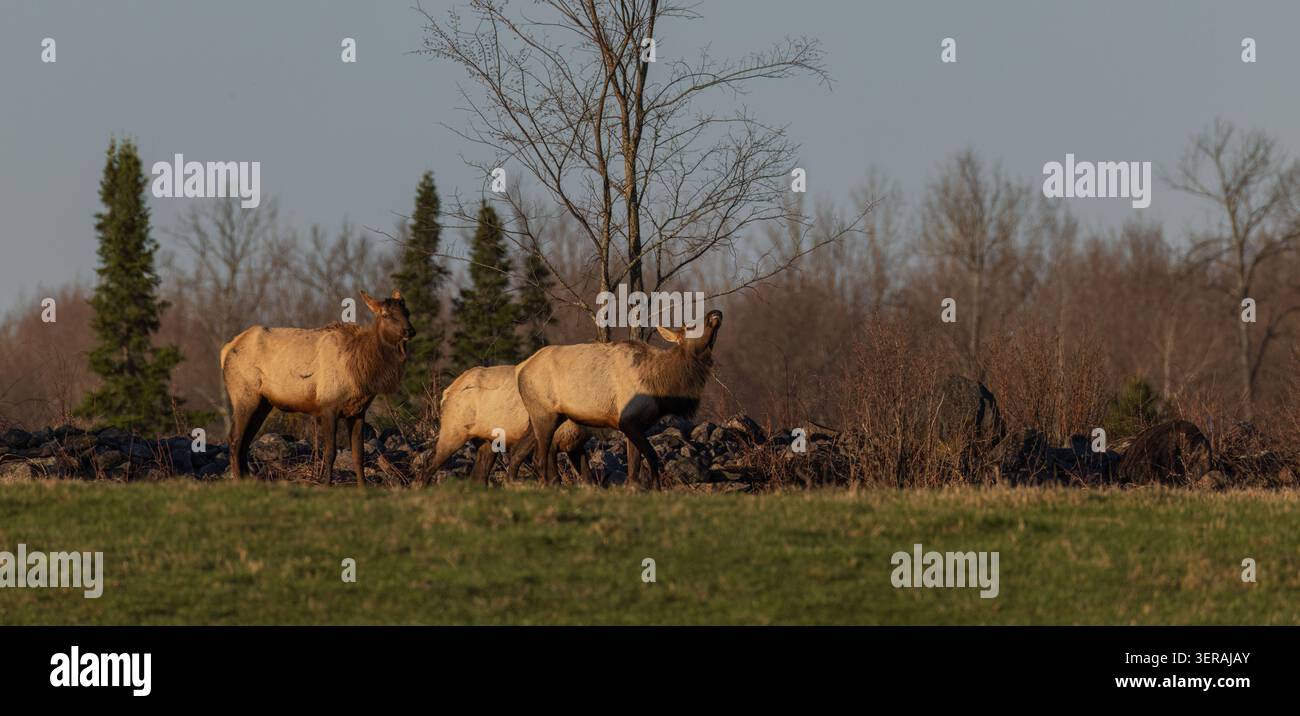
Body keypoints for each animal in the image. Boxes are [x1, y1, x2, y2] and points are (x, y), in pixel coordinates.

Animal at [220, 289, 413, 487]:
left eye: (407, 312)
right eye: (386, 314)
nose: (409, 330)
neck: (361, 370)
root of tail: (226, 349)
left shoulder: (358, 411)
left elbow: (358, 454)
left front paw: (363, 487)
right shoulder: (328, 406)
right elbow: (330, 453)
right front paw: (326, 484)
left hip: (263, 403)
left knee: (246, 440)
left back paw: (247, 479)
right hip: (244, 395)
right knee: (235, 439)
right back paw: (238, 480)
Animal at [415, 365, 590, 486]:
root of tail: (446, 393)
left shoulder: (576, 445)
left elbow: (589, 478)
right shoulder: (551, 442)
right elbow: (555, 479)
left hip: (486, 441)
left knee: (478, 477)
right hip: (454, 431)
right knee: (430, 463)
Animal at [516, 310, 723, 489]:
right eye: (690, 326)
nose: (715, 312)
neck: (661, 386)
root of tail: (521, 371)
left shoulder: (637, 424)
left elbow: (634, 466)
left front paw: (635, 488)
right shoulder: (627, 420)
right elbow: (651, 455)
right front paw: (656, 488)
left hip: (544, 417)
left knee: (517, 453)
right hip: (545, 415)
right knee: (539, 458)